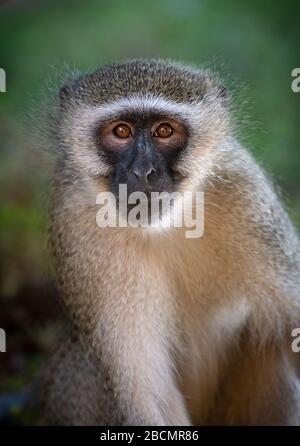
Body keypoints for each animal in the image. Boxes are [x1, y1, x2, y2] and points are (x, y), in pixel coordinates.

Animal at [41, 59, 300, 426]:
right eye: (121, 132)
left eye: (164, 131)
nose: (143, 171)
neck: (165, 228)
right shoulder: (74, 219)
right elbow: (148, 394)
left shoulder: (247, 195)